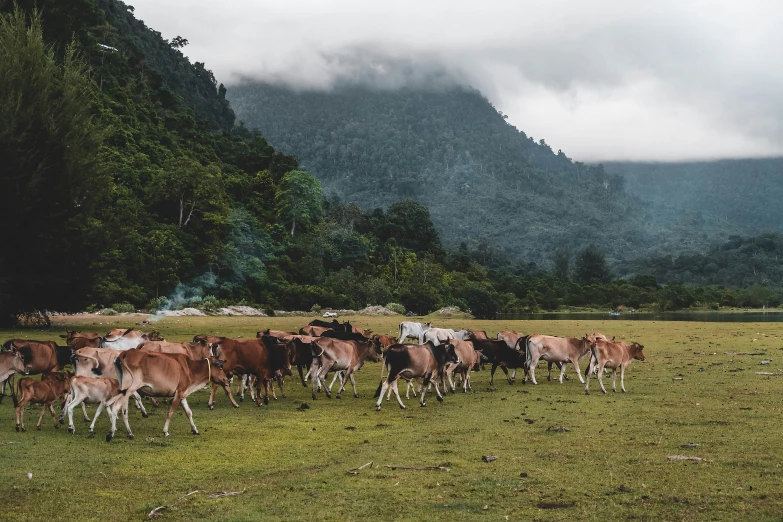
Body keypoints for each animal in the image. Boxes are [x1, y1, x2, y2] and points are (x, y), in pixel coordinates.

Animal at [107, 350, 236, 438]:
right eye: (220, 367)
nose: (226, 380)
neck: (190, 368)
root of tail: (126, 352)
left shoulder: (182, 393)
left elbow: (189, 412)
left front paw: (195, 429)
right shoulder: (178, 393)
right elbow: (171, 412)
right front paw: (165, 431)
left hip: (125, 390)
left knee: (123, 410)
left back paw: (129, 433)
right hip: (129, 388)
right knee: (116, 406)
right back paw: (111, 433)